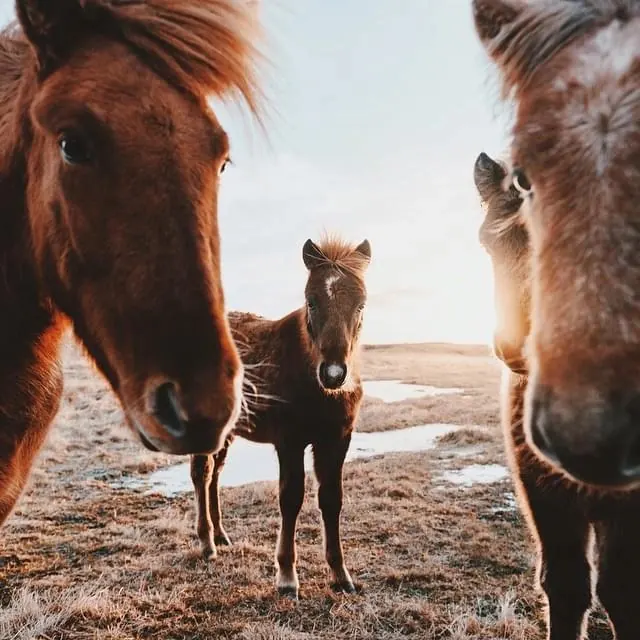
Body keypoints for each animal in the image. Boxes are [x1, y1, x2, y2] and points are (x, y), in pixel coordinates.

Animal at [190, 236, 371, 599]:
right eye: (310, 301)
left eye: (361, 304)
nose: (333, 375)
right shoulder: (289, 442)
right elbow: (291, 499)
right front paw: (287, 577)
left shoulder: (337, 440)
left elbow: (331, 499)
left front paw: (340, 575)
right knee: (202, 473)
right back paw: (206, 544)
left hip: (229, 431)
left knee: (215, 474)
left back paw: (220, 535)